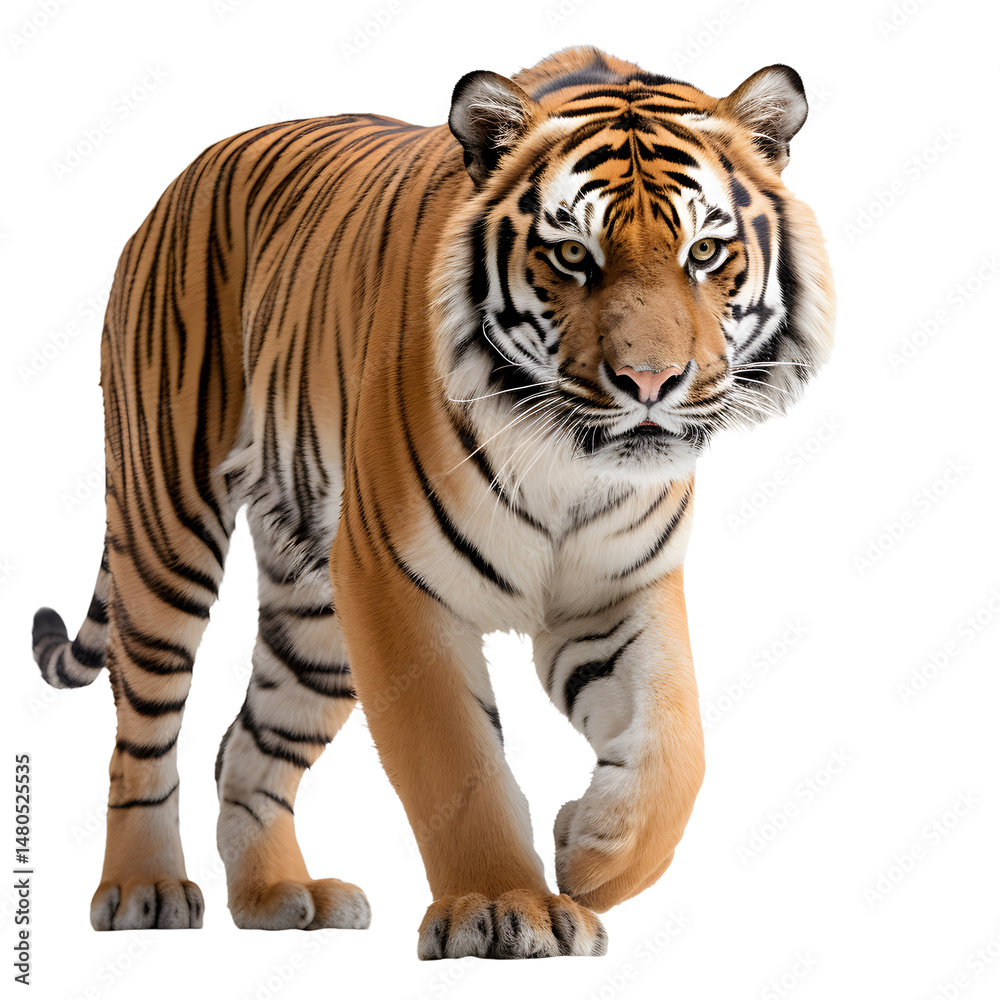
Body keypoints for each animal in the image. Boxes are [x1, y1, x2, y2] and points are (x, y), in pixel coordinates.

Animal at [31, 46, 833, 959]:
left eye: (705, 251)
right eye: (572, 255)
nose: (650, 382)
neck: (570, 461)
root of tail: (185, 174)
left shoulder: (617, 590)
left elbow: (676, 746)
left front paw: (590, 853)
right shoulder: (396, 585)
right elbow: (456, 761)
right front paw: (505, 906)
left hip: (317, 610)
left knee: (247, 742)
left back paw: (279, 895)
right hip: (168, 528)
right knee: (143, 730)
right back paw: (143, 888)